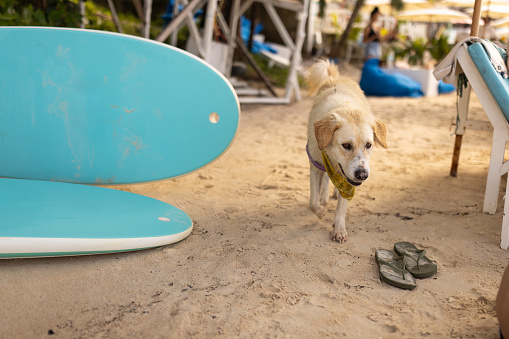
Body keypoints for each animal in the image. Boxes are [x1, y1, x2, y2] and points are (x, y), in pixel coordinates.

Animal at [306, 59, 384, 243]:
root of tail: (337, 77)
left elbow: (341, 207)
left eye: (369, 145)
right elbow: (313, 203)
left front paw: (339, 230)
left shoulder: (348, 182)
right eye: (346, 145)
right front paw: (320, 210)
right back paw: (324, 198)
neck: (346, 109)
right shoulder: (315, 164)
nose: (362, 175)